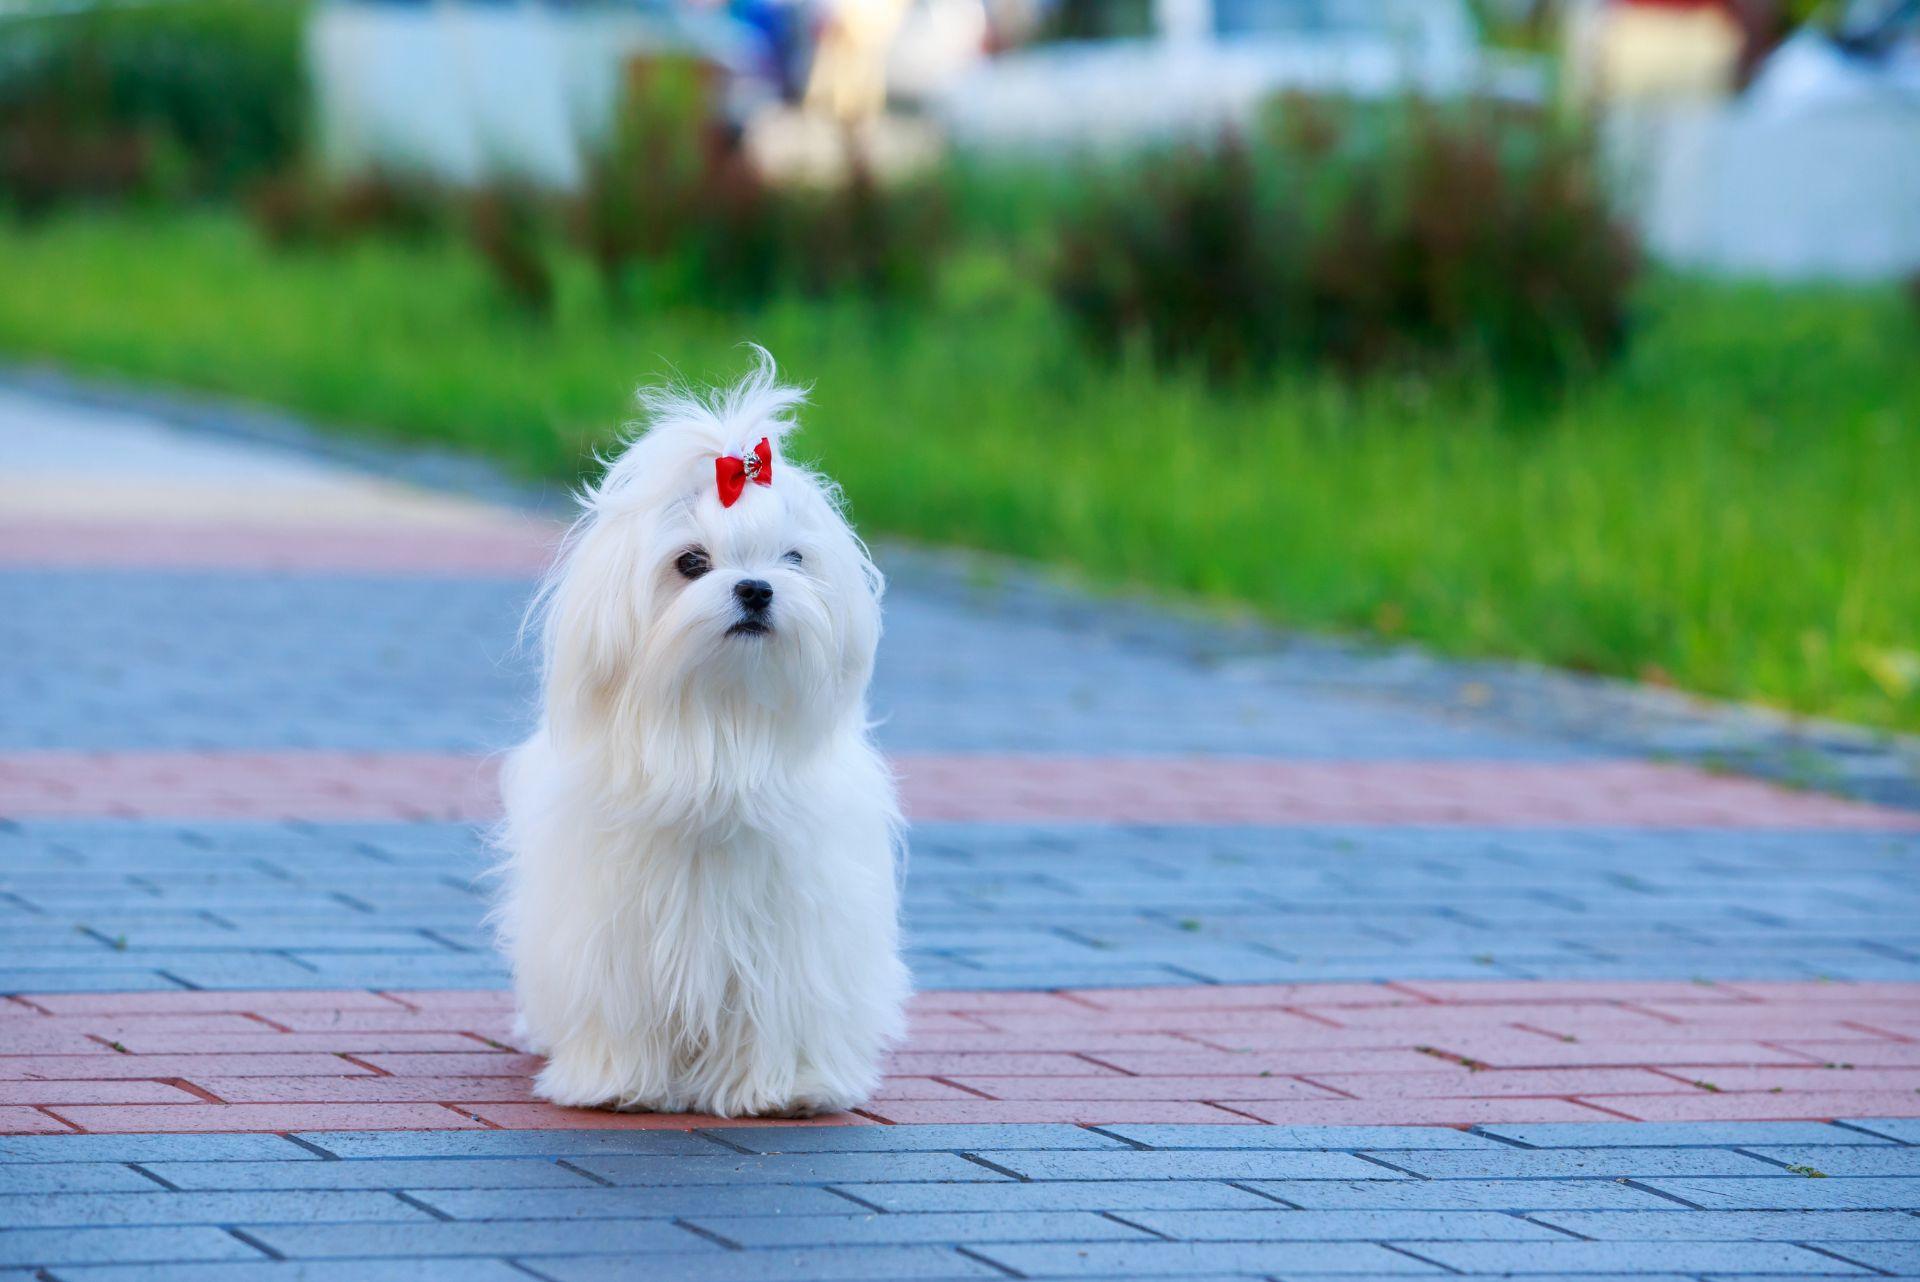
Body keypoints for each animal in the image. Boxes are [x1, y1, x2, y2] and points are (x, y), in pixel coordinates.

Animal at [499, 355, 910, 1113]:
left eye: (793, 559)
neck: (721, 728)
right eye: (691, 562)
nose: (756, 589)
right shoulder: (614, 929)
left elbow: (779, 1008)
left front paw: (782, 1090)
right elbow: (621, 1004)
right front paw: (618, 1081)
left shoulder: (792, 934)